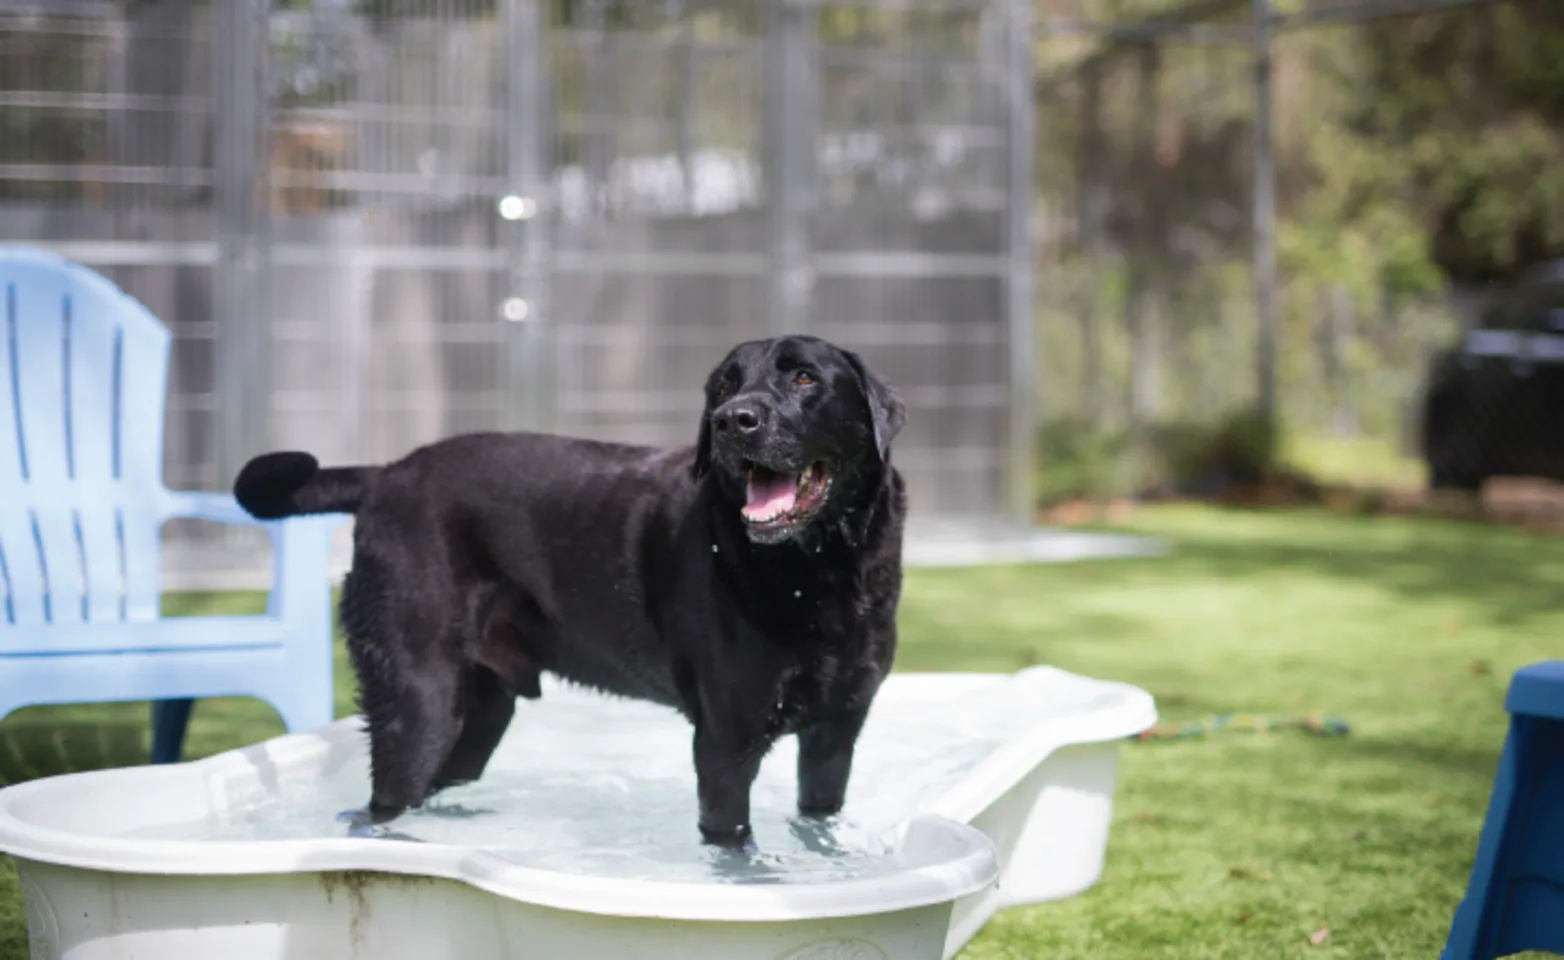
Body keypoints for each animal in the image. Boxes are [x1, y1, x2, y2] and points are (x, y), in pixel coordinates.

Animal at [228, 336, 907, 850]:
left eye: (803, 378)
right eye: (721, 388)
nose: (732, 421)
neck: (818, 574)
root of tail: (383, 475)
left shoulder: (835, 734)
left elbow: (818, 816)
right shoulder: (725, 743)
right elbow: (733, 842)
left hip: (478, 717)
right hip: (419, 701)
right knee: (383, 800)